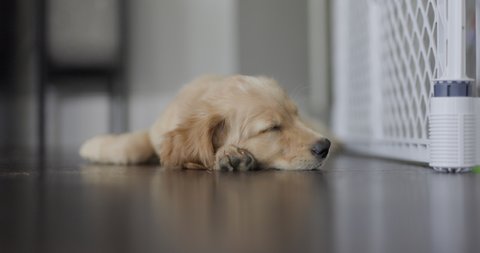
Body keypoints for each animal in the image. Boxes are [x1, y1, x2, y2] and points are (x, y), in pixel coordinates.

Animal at [80, 75, 332, 170]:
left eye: (295, 116)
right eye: (272, 128)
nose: (325, 146)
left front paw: (232, 155)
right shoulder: (158, 130)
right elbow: (134, 145)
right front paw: (97, 145)